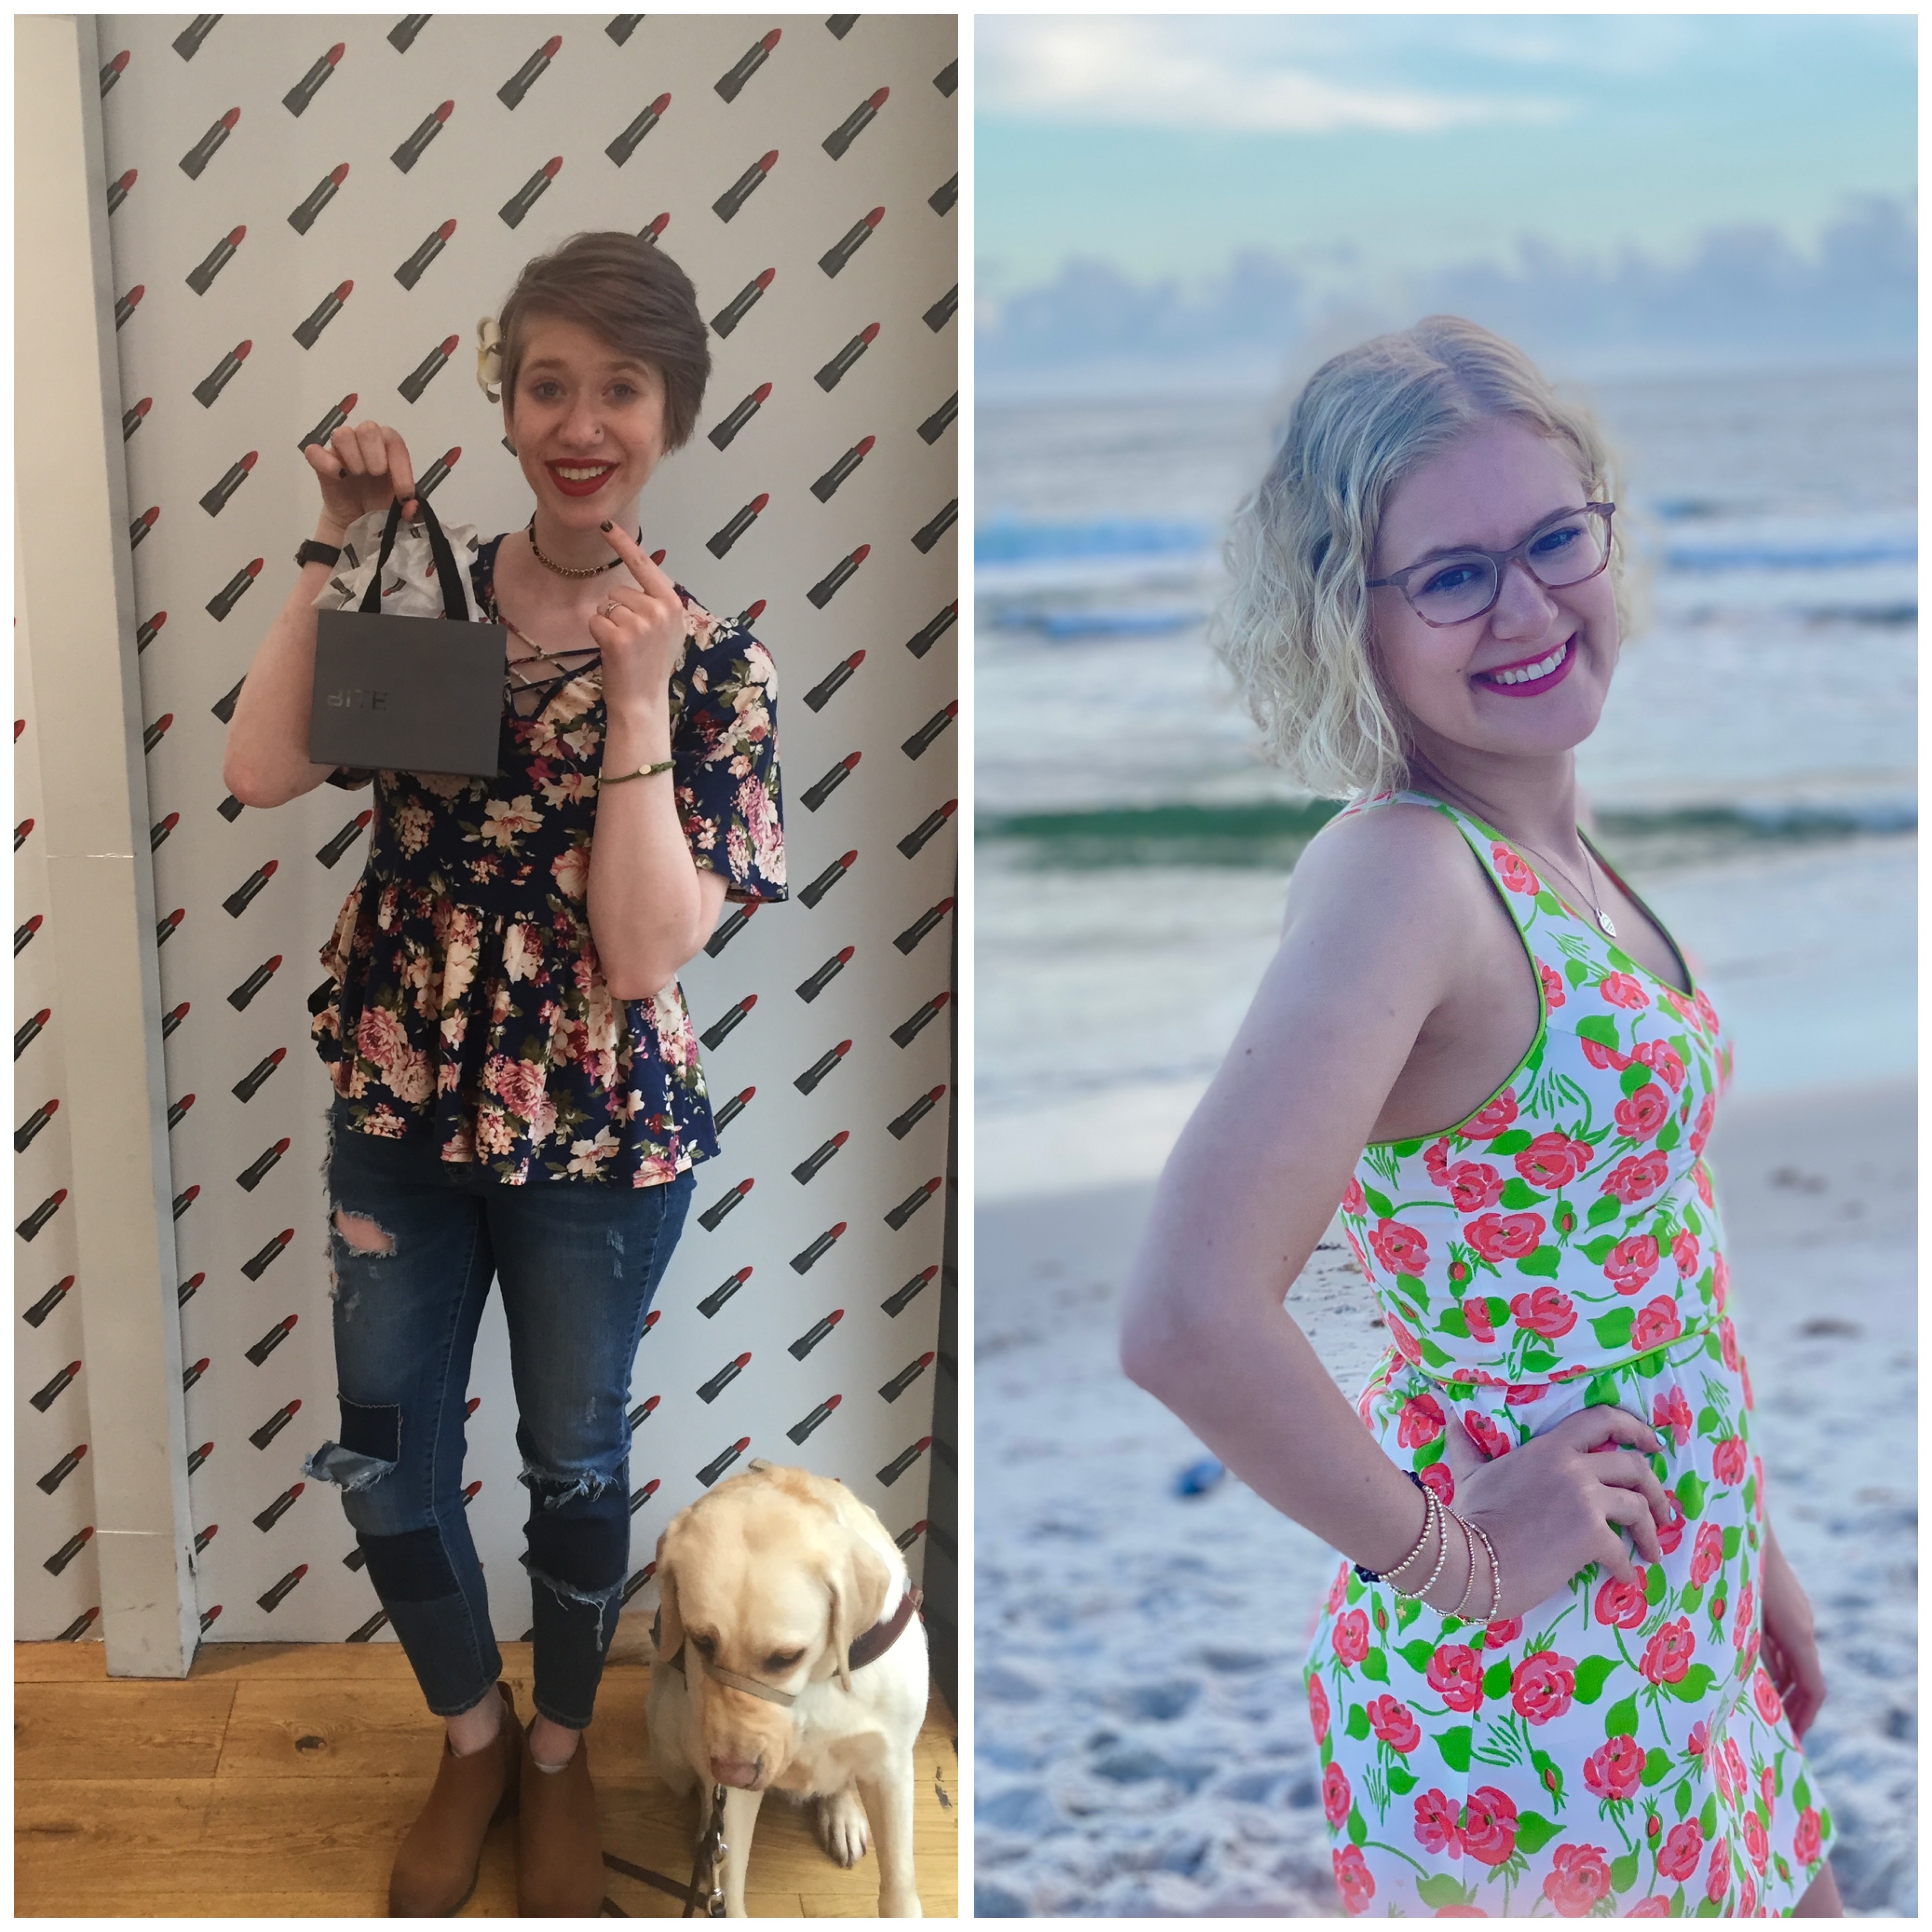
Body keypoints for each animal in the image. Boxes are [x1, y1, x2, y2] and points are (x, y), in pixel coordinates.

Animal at [641, 1461, 927, 1917]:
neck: (817, 1681)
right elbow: (730, 1883)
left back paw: (843, 1814)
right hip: (670, 1738)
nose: (734, 1771)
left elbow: (900, 1884)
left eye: (786, 1657)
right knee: (702, 1790)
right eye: (702, 1642)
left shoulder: (893, 1767)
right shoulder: (733, 1793)